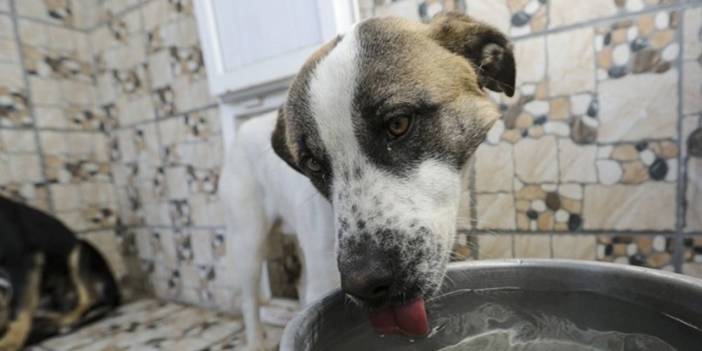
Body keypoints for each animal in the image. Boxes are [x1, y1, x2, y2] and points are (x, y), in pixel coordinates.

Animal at [0, 197, 120, 350]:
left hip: (78, 250)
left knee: (90, 298)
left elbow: (19, 309)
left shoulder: (22, 261)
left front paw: (10, 341)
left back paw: (62, 321)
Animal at [220, 12, 516, 350]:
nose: (364, 284)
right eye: (313, 163)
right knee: (249, 299)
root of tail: (245, 129)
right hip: (248, 241)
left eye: (398, 124)